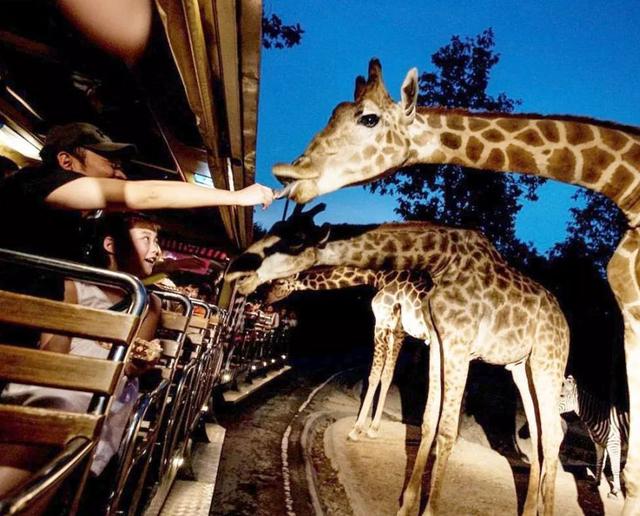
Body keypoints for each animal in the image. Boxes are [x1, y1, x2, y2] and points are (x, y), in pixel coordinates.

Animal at [262, 266, 432, 440]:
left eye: (280, 282)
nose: (264, 300)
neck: (380, 276)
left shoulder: (383, 325)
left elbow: (374, 376)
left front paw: (358, 429)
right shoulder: (397, 331)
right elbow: (387, 376)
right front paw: (373, 428)